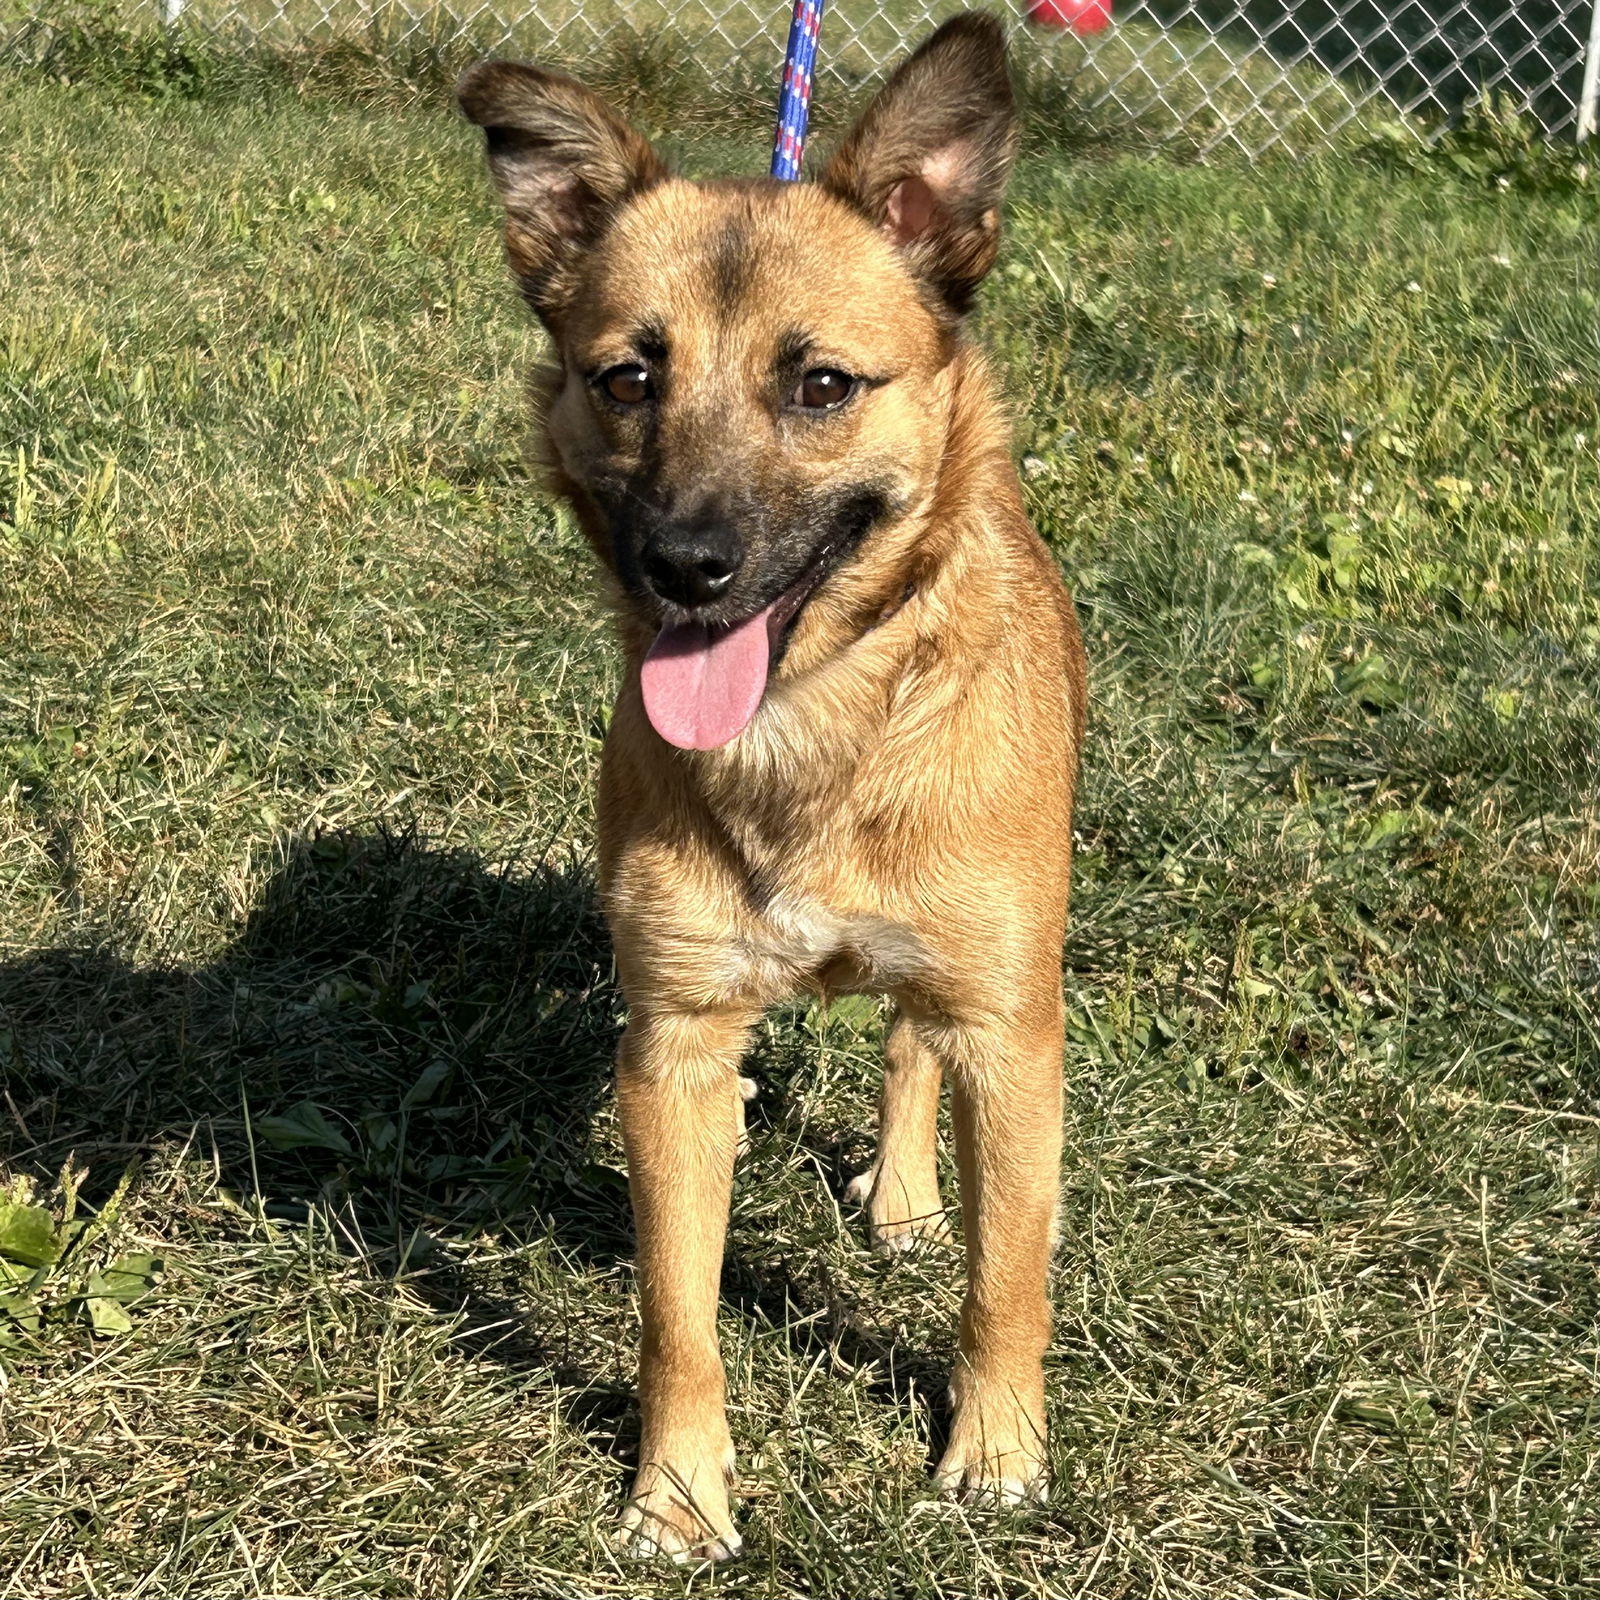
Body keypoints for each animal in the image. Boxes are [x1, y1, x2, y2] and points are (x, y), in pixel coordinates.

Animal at [457, 12, 1094, 1561]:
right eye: (627, 377)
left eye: (821, 386)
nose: (687, 567)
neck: (813, 732)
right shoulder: (675, 1048)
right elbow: (676, 1315)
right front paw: (678, 1494)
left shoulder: (1014, 1034)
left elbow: (1009, 1280)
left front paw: (996, 1453)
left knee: (914, 1050)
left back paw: (909, 1197)